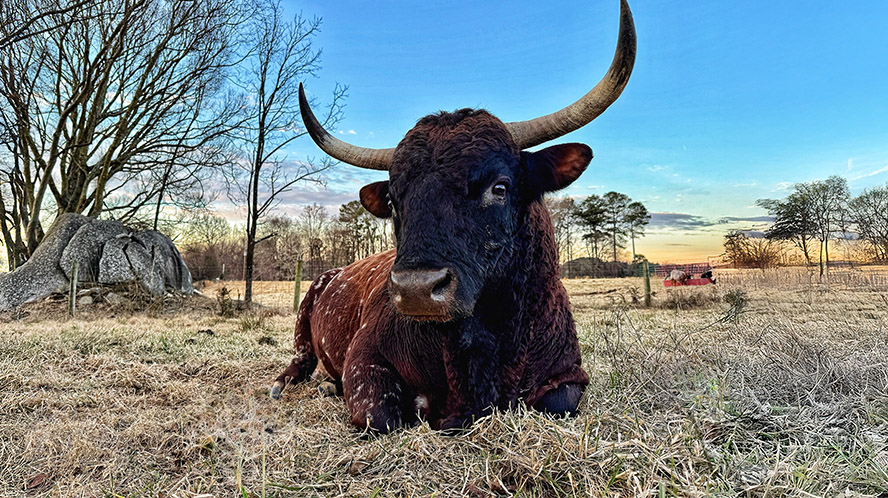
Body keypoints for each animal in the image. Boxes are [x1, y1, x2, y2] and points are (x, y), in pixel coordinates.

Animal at [270, 0, 636, 434]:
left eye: (499, 187)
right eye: (393, 198)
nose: (415, 289)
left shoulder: (569, 377)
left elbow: (558, 402)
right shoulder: (364, 362)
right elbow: (382, 415)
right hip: (303, 325)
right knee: (300, 362)